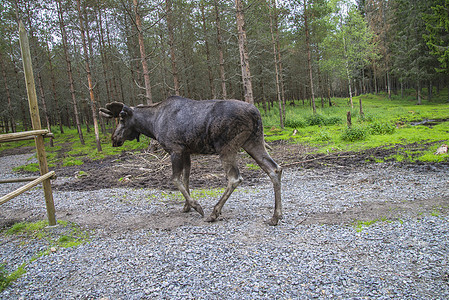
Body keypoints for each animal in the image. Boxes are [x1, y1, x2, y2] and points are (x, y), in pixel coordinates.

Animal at [100, 96, 282, 225]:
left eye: (122, 117)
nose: (114, 139)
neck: (152, 124)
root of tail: (255, 113)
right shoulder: (187, 152)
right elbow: (186, 179)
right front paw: (186, 206)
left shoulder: (175, 149)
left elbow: (175, 179)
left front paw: (196, 206)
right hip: (254, 142)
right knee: (275, 169)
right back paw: (275, 216)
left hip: (226, 147)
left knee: (234, 178)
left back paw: (213, 213)